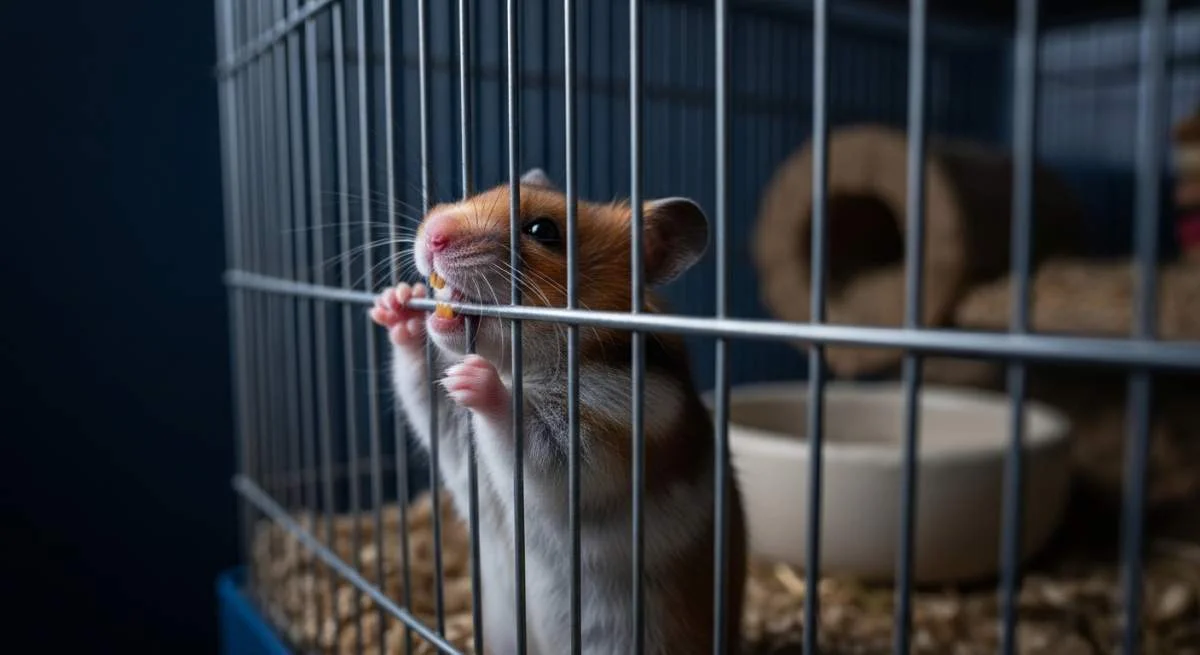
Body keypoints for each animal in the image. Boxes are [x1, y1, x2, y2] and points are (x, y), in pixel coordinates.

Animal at [369, 168, 747, 655]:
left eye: (543, 231)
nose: (432, 233)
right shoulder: (451, 433)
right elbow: (422, 383)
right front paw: (397, 301)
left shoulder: (597, 441)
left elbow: (526, 434)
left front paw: (475, 378)